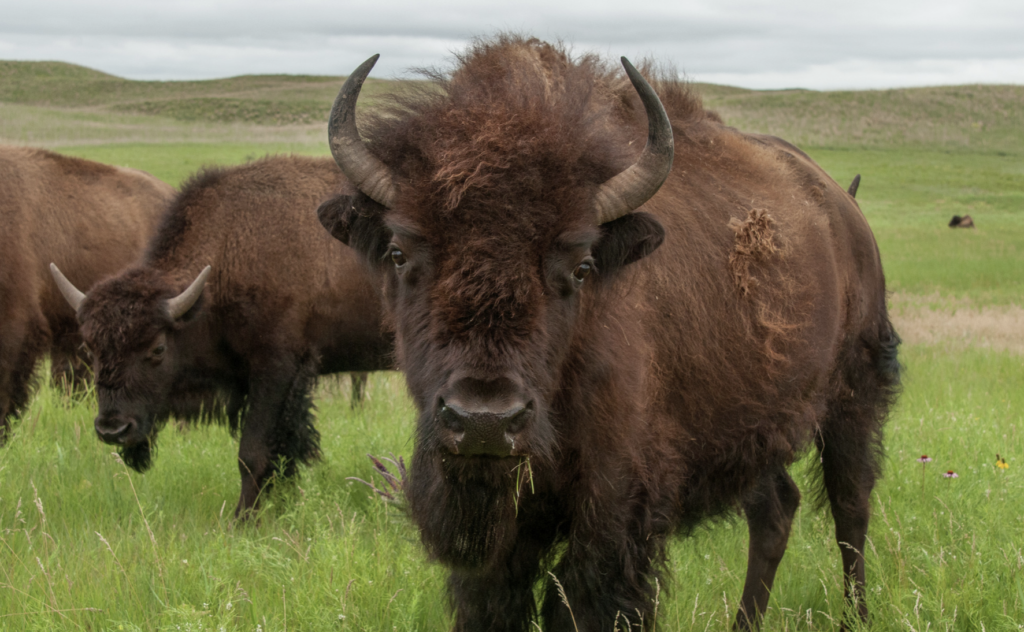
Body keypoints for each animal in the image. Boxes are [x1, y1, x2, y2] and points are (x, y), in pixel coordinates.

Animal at [52, 155, 391, 515]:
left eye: (158, 348)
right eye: (91, 348)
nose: (113, 429)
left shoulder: (275, 370)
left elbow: (252, 453)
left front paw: (242, 519)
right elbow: (282, 453)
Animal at [318, 36, 901, 631]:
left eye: (580, 266)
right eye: (399, 253)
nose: (484, 421)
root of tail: (842, 208)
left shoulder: (615, 512)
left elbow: (584, 602)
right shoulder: (494, 532)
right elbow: (493, 601)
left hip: (854, 395)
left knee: (851, 507)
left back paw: (856, 616)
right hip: (757, 422)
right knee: (776, 509)